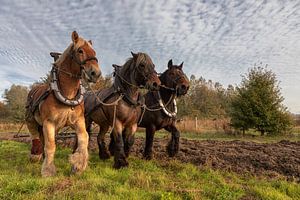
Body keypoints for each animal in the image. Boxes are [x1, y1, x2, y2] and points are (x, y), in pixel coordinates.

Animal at [25, 31, 101, 177]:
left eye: (94, 52)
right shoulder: (49, 123)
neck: (67, 95)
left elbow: (84, 138)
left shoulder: (78, 121)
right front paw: (48, 170)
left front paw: (78, 164)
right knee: (35, 136)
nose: (96, 73)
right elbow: (50, 146)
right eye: (80, 50)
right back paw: (36, 155)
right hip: (31, 119)